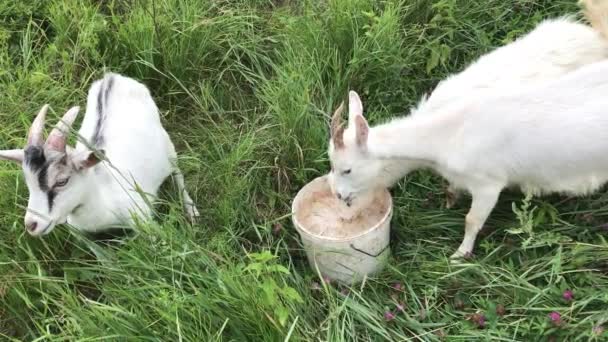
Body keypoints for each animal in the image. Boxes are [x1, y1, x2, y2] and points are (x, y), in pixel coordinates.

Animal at [0, 73, 200, 236]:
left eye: (62, 181)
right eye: (28, 183)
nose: (31, 225)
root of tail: (111, 78)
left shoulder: (143, 220)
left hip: (168, 146)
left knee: (177, 172)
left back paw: (191, 211)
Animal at [330, 0, 608, 258]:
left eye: (347, 169)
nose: (338, 196)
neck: (447, 134)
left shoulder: (489, 184)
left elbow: (472, 220)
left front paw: (459, 255)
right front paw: (450, 200)